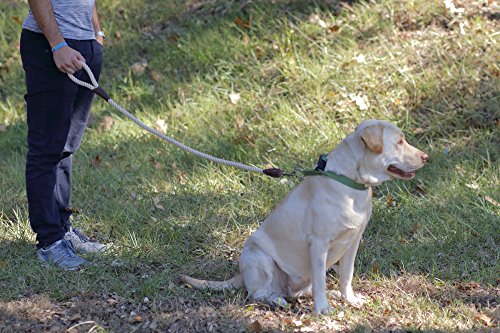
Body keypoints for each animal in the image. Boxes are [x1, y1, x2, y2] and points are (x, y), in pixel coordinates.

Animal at [182, 119, 428, 314]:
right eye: (399, 142)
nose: (426, 156)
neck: (351, 184)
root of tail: (241, 275)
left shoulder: (353, 242)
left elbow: (346, 276)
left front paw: (349, 299)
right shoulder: (318, 244)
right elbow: (320, 280)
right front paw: (322, 309)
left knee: (300, 291)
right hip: (259, 256)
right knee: (259, 294)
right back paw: (277, 300)